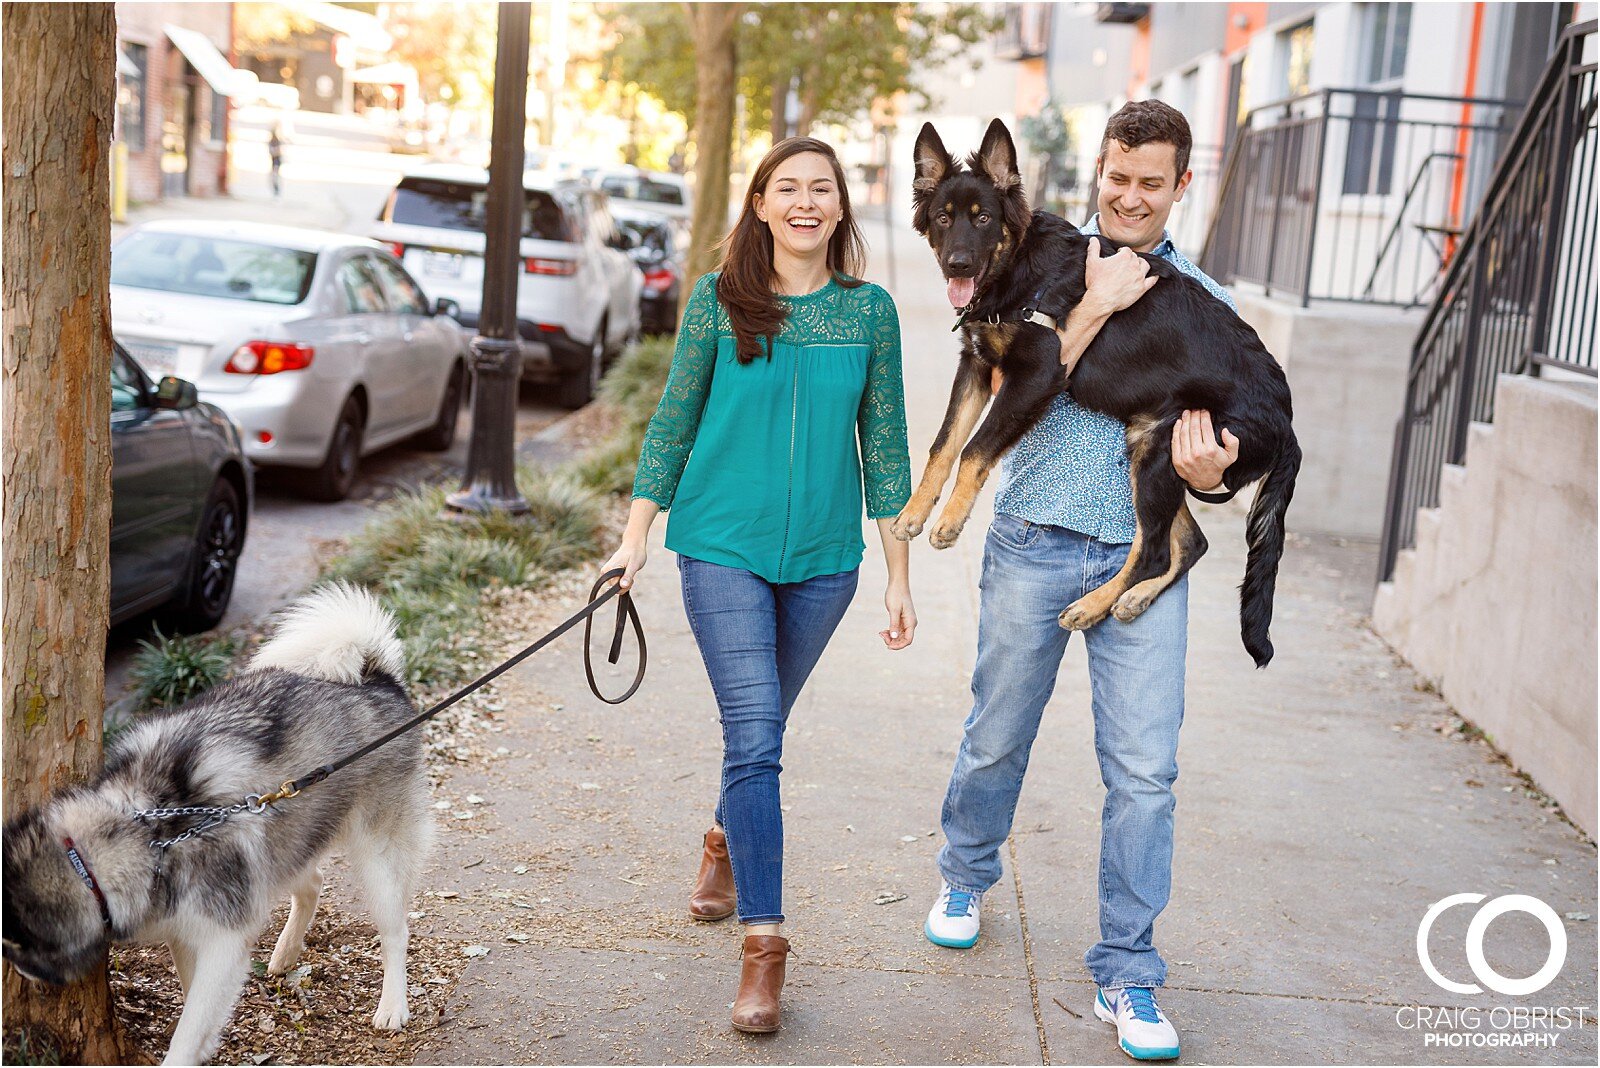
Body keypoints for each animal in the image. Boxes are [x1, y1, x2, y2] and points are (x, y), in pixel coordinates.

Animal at [1, 585, 432, 1068]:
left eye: (16, 945)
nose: (18, 971)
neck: (147, 833)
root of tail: (378, 680)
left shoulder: (223, 939)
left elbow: (189, 1027)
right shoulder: (187, 930)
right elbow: (195, 1000)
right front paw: (210, 1042)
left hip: (376, 857)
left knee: (395, 931)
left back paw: (393, 1005)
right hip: (281, 846)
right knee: (312, 882)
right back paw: (285, 952)